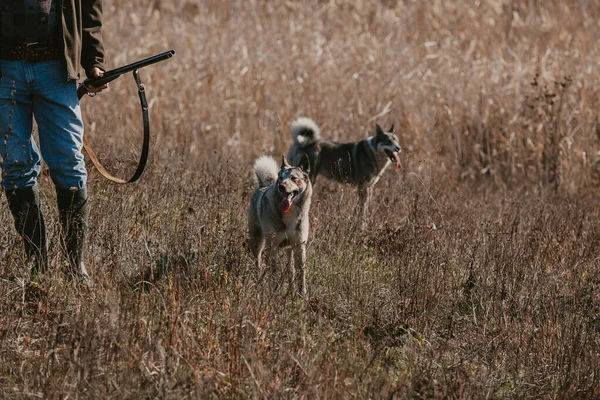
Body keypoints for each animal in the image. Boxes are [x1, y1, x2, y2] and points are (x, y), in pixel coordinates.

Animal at [246, 155, 312, 296]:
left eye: (294, 178)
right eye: (280, 177)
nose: (281, 186)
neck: (290, 213)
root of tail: (263, 185)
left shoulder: (299, 246)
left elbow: (301, 275)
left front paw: (302, 296)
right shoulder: (273, 247)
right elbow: (273, 274)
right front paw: (273, 294)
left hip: (289, 249)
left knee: (291, 269)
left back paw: (291, 291)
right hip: (257, 243)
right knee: (258, 264)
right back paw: (258, 285)